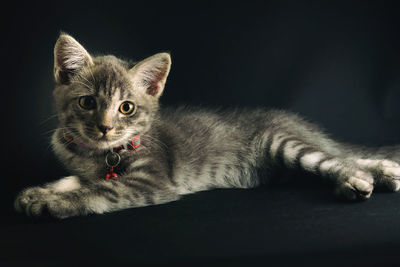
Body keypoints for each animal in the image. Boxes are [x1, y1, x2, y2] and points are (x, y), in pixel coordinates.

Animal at [14, 33, 400, 220]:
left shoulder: (151, 180)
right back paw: (384, 170)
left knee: (334, 159)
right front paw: (40, 191)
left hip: (281, 143)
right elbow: (76, 180)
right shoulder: (88, 168)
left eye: (126, 108)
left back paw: (356, 180)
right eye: (87, 103)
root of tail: (294, 121)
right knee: (342, 155)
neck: (102, 154)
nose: (106, 128)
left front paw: (53, 203)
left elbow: (99, 191)